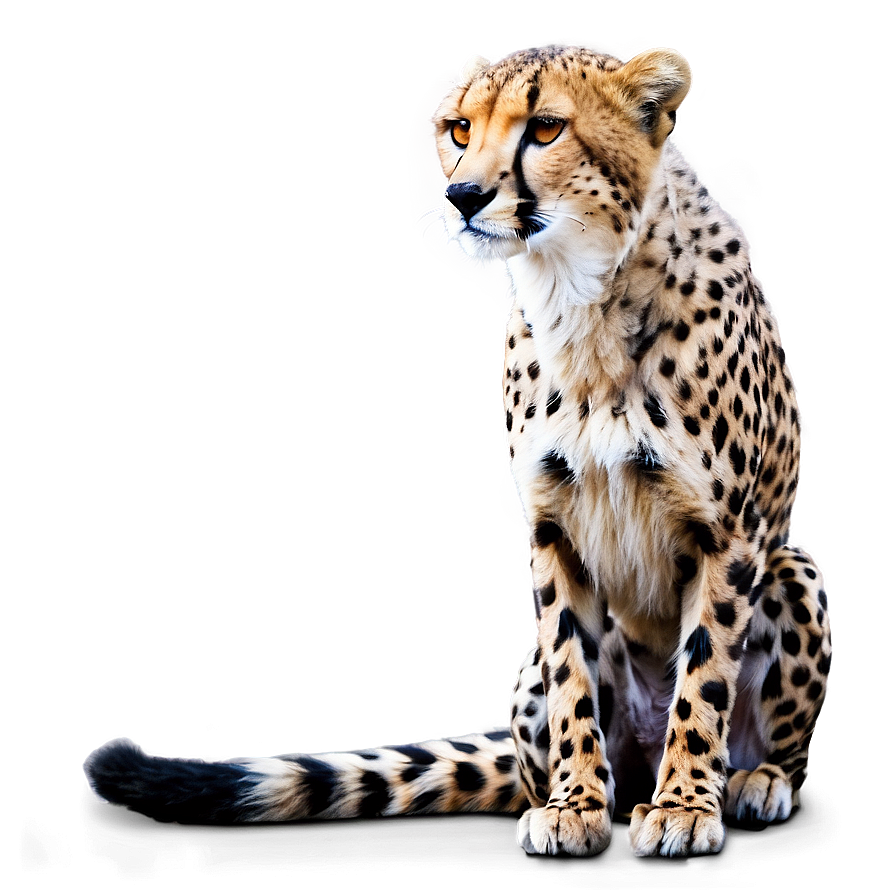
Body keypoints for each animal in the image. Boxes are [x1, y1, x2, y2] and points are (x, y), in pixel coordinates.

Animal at [84, 45, 832, 858]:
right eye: (460, 128)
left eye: (545, 128)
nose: (464, 195)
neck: (582, 300)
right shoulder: (553, 528)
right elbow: (571, 671)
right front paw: (573, 805)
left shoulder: (730, 532)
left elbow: (705, 675)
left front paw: (686, 806)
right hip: (532, 679)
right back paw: (598, 791)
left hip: (791, 569)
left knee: (777, 737)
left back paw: (753, 782)